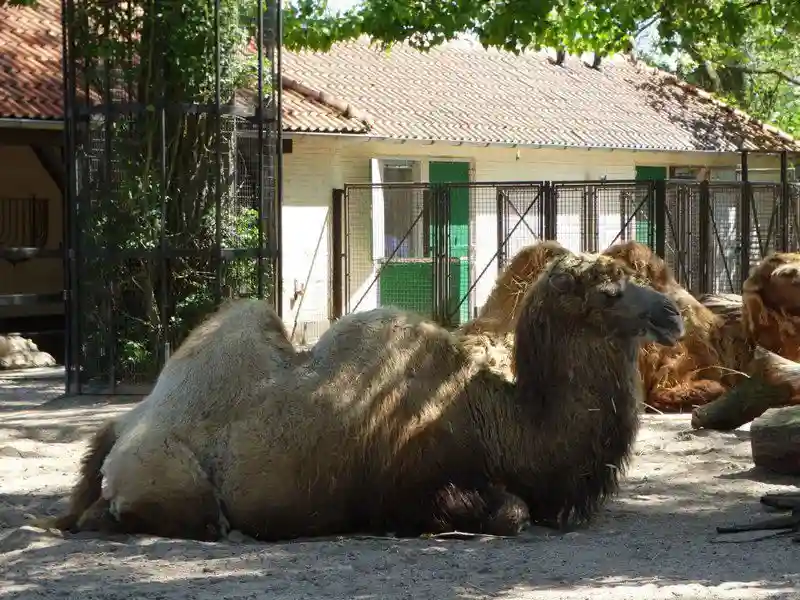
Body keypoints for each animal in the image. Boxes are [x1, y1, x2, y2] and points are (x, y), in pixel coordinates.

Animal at [40, 251, 684, 540]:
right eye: (608, 291)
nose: (673, 313)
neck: (503, 417)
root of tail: (122, 429)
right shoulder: (416, 484)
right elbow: (512, 512)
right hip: (173, 479)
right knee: (196, 516)